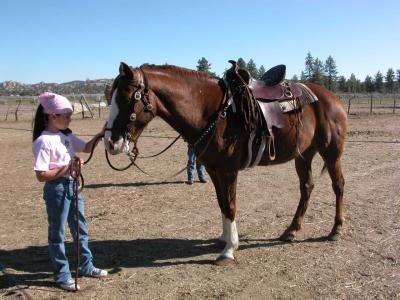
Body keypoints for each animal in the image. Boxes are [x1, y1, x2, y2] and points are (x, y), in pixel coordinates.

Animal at [103, 62, 346, 264]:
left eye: (126, 99)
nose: (111, 142)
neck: (211, 112)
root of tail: (333, 98)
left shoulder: (229, 171)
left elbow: (230, 205)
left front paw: (229, 250)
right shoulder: (213, 170)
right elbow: (221, 204)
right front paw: (223, 238)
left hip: (331, 153)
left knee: (338, 186)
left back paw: (336, 230)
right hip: (303, 155)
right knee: (306, 187)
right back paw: (291, 230)